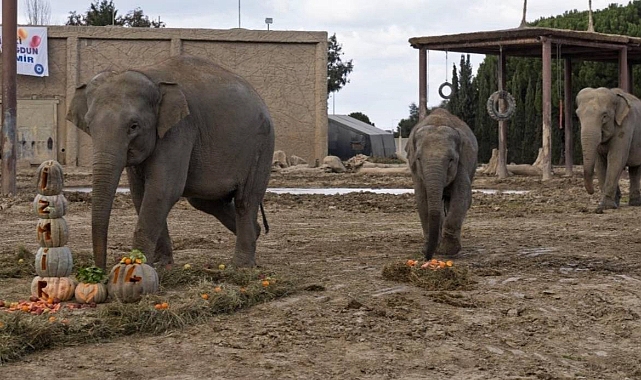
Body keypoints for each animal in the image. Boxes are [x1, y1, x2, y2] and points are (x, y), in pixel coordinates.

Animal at [65, 55, 276, 270]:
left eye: (134, 126)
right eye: (88, 125)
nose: (99, 270)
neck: (148, 76)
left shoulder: (179, 130)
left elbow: (162, 190)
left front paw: (138, 265)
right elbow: (140, 193)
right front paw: (161, 265)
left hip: (261, 148)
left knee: (245, 200)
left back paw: (241, 266)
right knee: (204, 200)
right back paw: (257, 232)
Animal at [404, 108, 476, 260]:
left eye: (451, 159)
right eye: (418, 158)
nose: (427, 257)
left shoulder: (462, 162)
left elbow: (462, 195)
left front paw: (448, 251)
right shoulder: (416, 171)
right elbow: (421, 198)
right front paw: (430, 248)